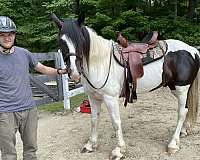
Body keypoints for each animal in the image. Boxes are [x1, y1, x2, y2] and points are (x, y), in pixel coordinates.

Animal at [50, 14, 199, 160]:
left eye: (81, 40)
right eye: (61, 42)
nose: (74, 73)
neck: (100, 62)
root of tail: (192, 50)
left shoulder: (110, 98)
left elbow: (116, 122)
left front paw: (119, 150)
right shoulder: (93, 97)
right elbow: (94, 120)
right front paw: (91, 145)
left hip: (181, 89)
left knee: (181, 112)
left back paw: (173, 144)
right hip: (177, 88)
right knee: (186, 109)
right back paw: (183, 132)